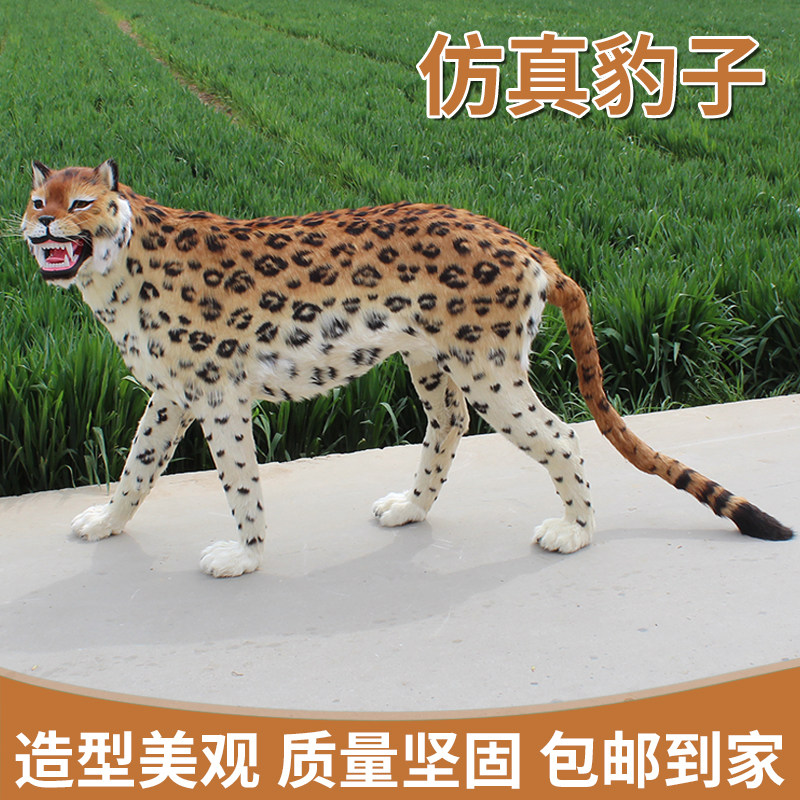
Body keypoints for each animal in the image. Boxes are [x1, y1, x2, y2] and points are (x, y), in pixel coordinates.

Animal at [20, 159, 792, 577]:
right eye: (37, 200)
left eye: (80, 202)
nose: (42, 226)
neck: (116, 264)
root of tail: (516, 236)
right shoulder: (172, 398)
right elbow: (136, 467)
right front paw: (107, 522)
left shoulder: (219, 399)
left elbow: (240, 484)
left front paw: (245, 555)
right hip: (430, 359)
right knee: (447, 422)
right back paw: (411, 508)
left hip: (490, 371)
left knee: (562, 435)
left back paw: (575, 531)